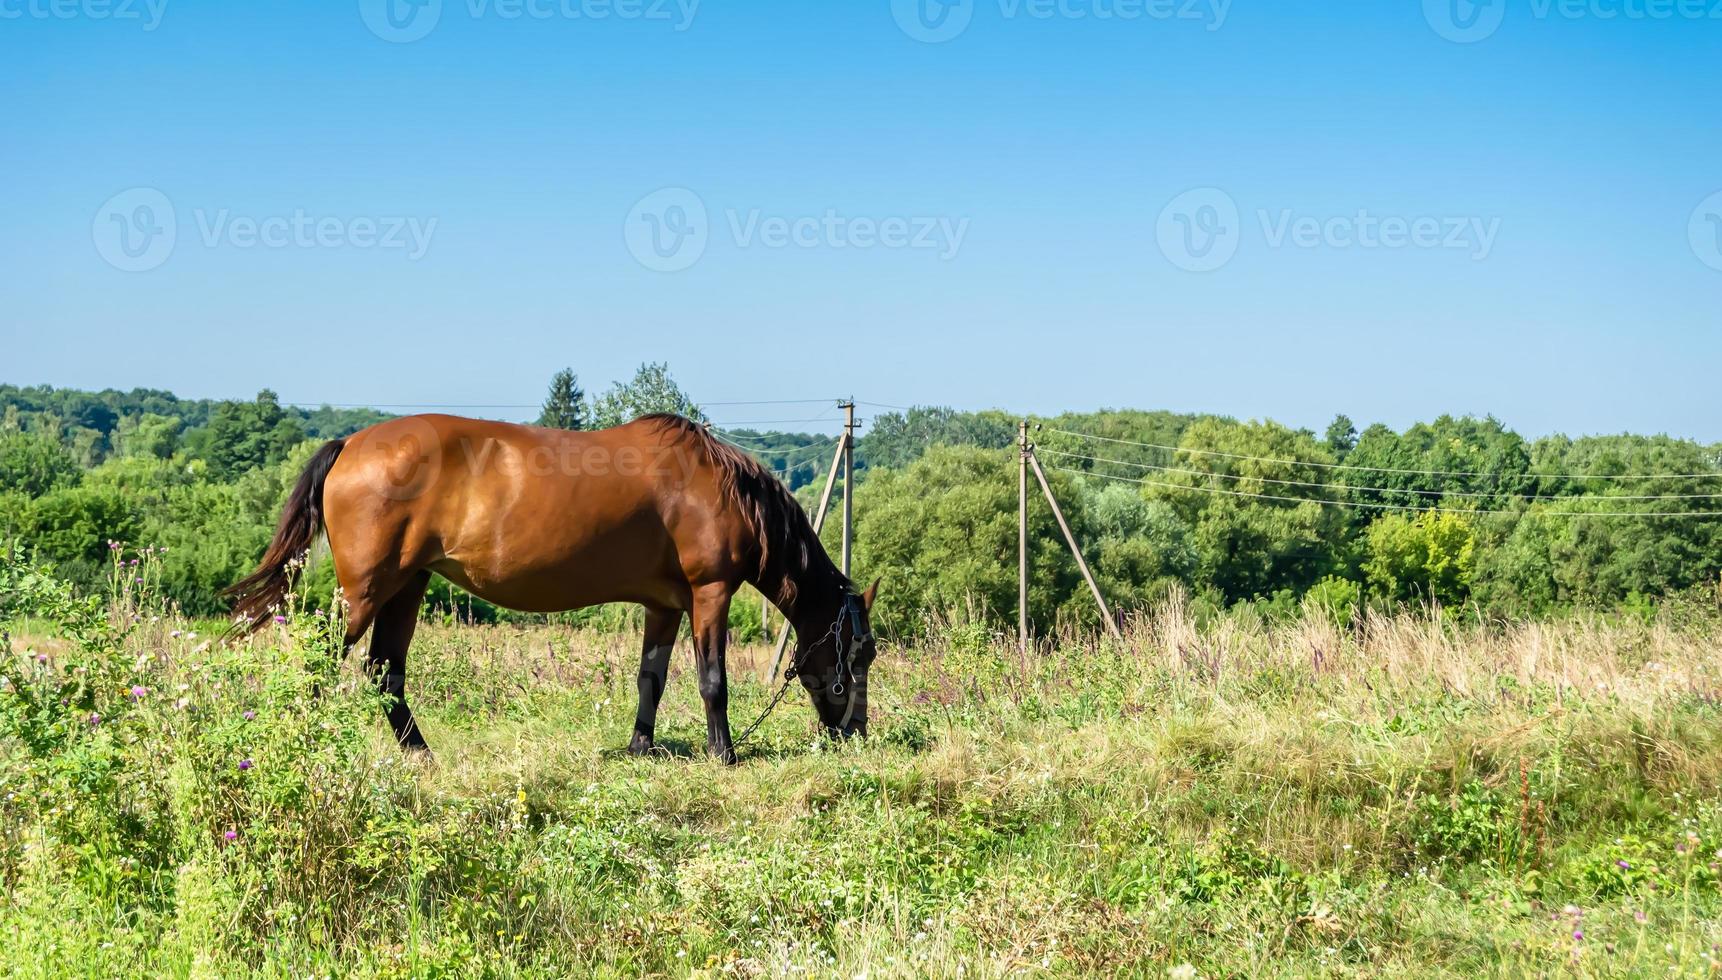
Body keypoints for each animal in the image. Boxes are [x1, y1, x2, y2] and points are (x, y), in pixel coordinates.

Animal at [225, 408, 874, 761]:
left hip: (406, 585)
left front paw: (641, 748)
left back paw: (421, 752)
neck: (718, 486)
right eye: (860, 651)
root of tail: (351, 445)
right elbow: (712, 681)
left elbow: (652, 678)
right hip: (366, 590)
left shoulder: (664, 606)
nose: (856, 731)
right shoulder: (709, 593)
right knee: (321, 660)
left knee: (385, 670)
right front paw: (725, 753)